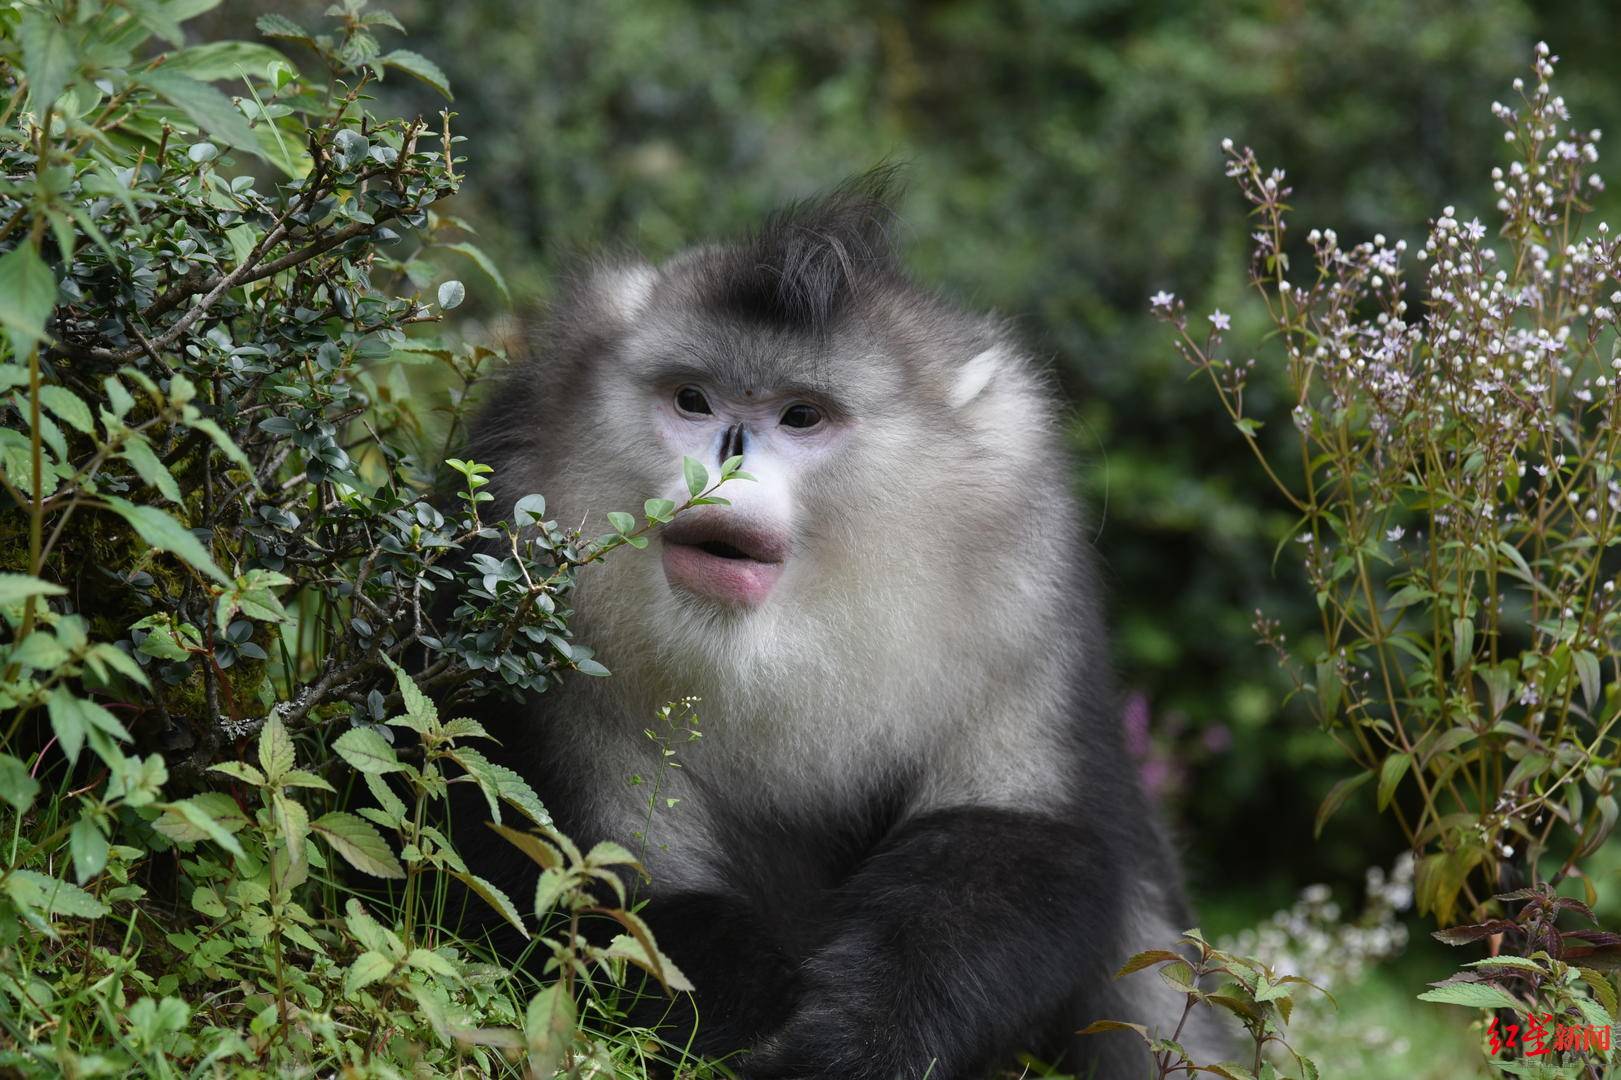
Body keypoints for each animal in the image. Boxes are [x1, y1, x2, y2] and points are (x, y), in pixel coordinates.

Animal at [460, 172, 1225, 1070]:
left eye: (800, 416)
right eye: (692, 400)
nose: (722, 465)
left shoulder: (1020, 608)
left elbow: (1026, 838)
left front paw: (862, 1034)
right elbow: (583, 875)